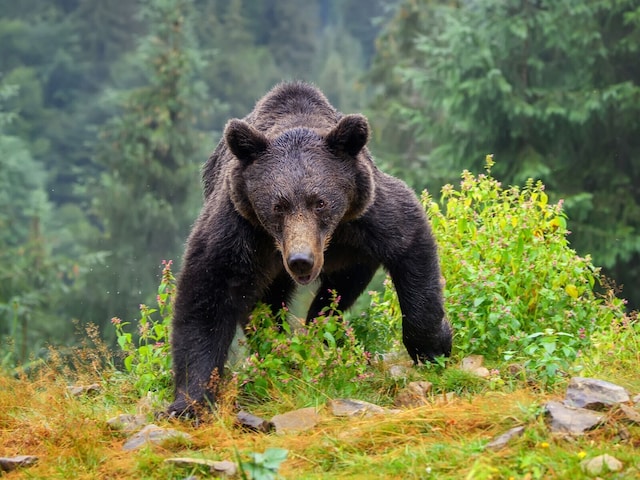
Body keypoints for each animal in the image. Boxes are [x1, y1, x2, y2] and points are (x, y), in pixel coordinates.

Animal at [168, 82, 452, 416]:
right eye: (278, 206)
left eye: (320, 202)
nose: (300, 260)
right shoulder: (239, 227)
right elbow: (207, 293)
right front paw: (189, 401)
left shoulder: (365, 215)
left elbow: (410, 244)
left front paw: (434, 347)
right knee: (263, 306)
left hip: (352, 258)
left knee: (337, 289)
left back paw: (321, 323)